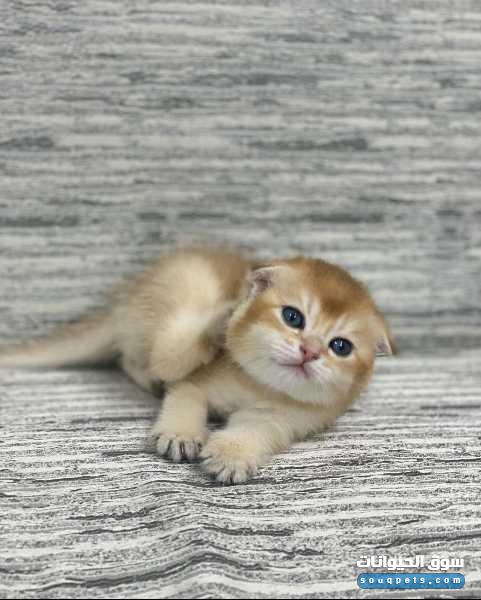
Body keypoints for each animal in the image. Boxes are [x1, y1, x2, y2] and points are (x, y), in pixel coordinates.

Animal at [0, 247, 395, 484]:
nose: (310, 351)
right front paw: (180, 434)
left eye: (340, 346)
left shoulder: (287, 417)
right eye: (293, 316)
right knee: (159, 355)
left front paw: (232, 455)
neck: (257, 383)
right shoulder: (194, 382)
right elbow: (185, 393)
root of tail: (125, 301)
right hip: (186, 292)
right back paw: (220, 320)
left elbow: (256, 429)